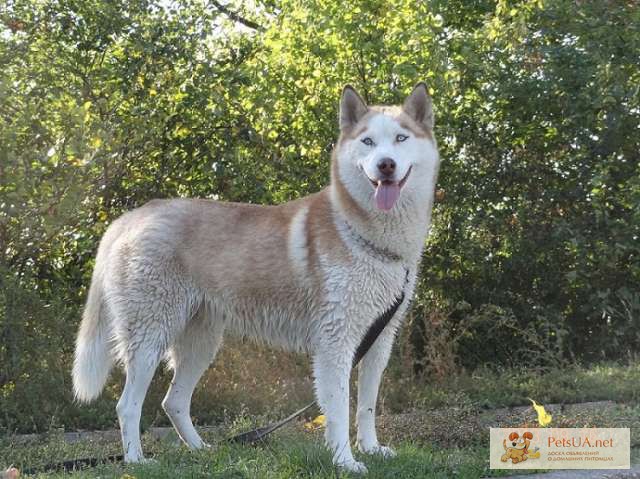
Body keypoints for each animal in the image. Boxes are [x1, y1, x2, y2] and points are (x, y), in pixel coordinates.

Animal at [71, 83, 440, 472]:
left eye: (400, 138)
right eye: (368, 141)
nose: (386, 165)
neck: (366, 236)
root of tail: (132, 217)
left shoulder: (378, 341)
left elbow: (366, 406)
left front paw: (370, 448)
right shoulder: (335, 343)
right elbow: (339, 409)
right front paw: (344, 461)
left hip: (201, 342)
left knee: (174, 401)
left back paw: (202, 450)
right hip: (149, 338)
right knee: (127, 405)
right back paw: (137, 461)